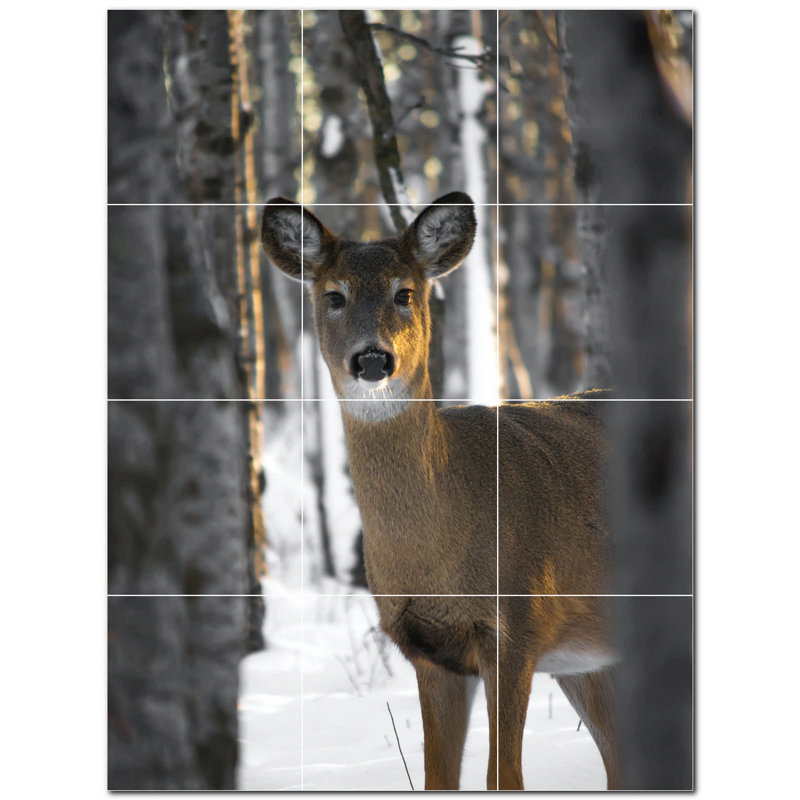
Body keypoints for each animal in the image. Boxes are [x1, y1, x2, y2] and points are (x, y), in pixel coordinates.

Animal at [261, 192, 620, 790]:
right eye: (334, 296)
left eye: (404, 293)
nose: (373, 358)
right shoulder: (428, 653)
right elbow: (437, 777)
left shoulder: (516, 627)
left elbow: (505, 778)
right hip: (590, 659)